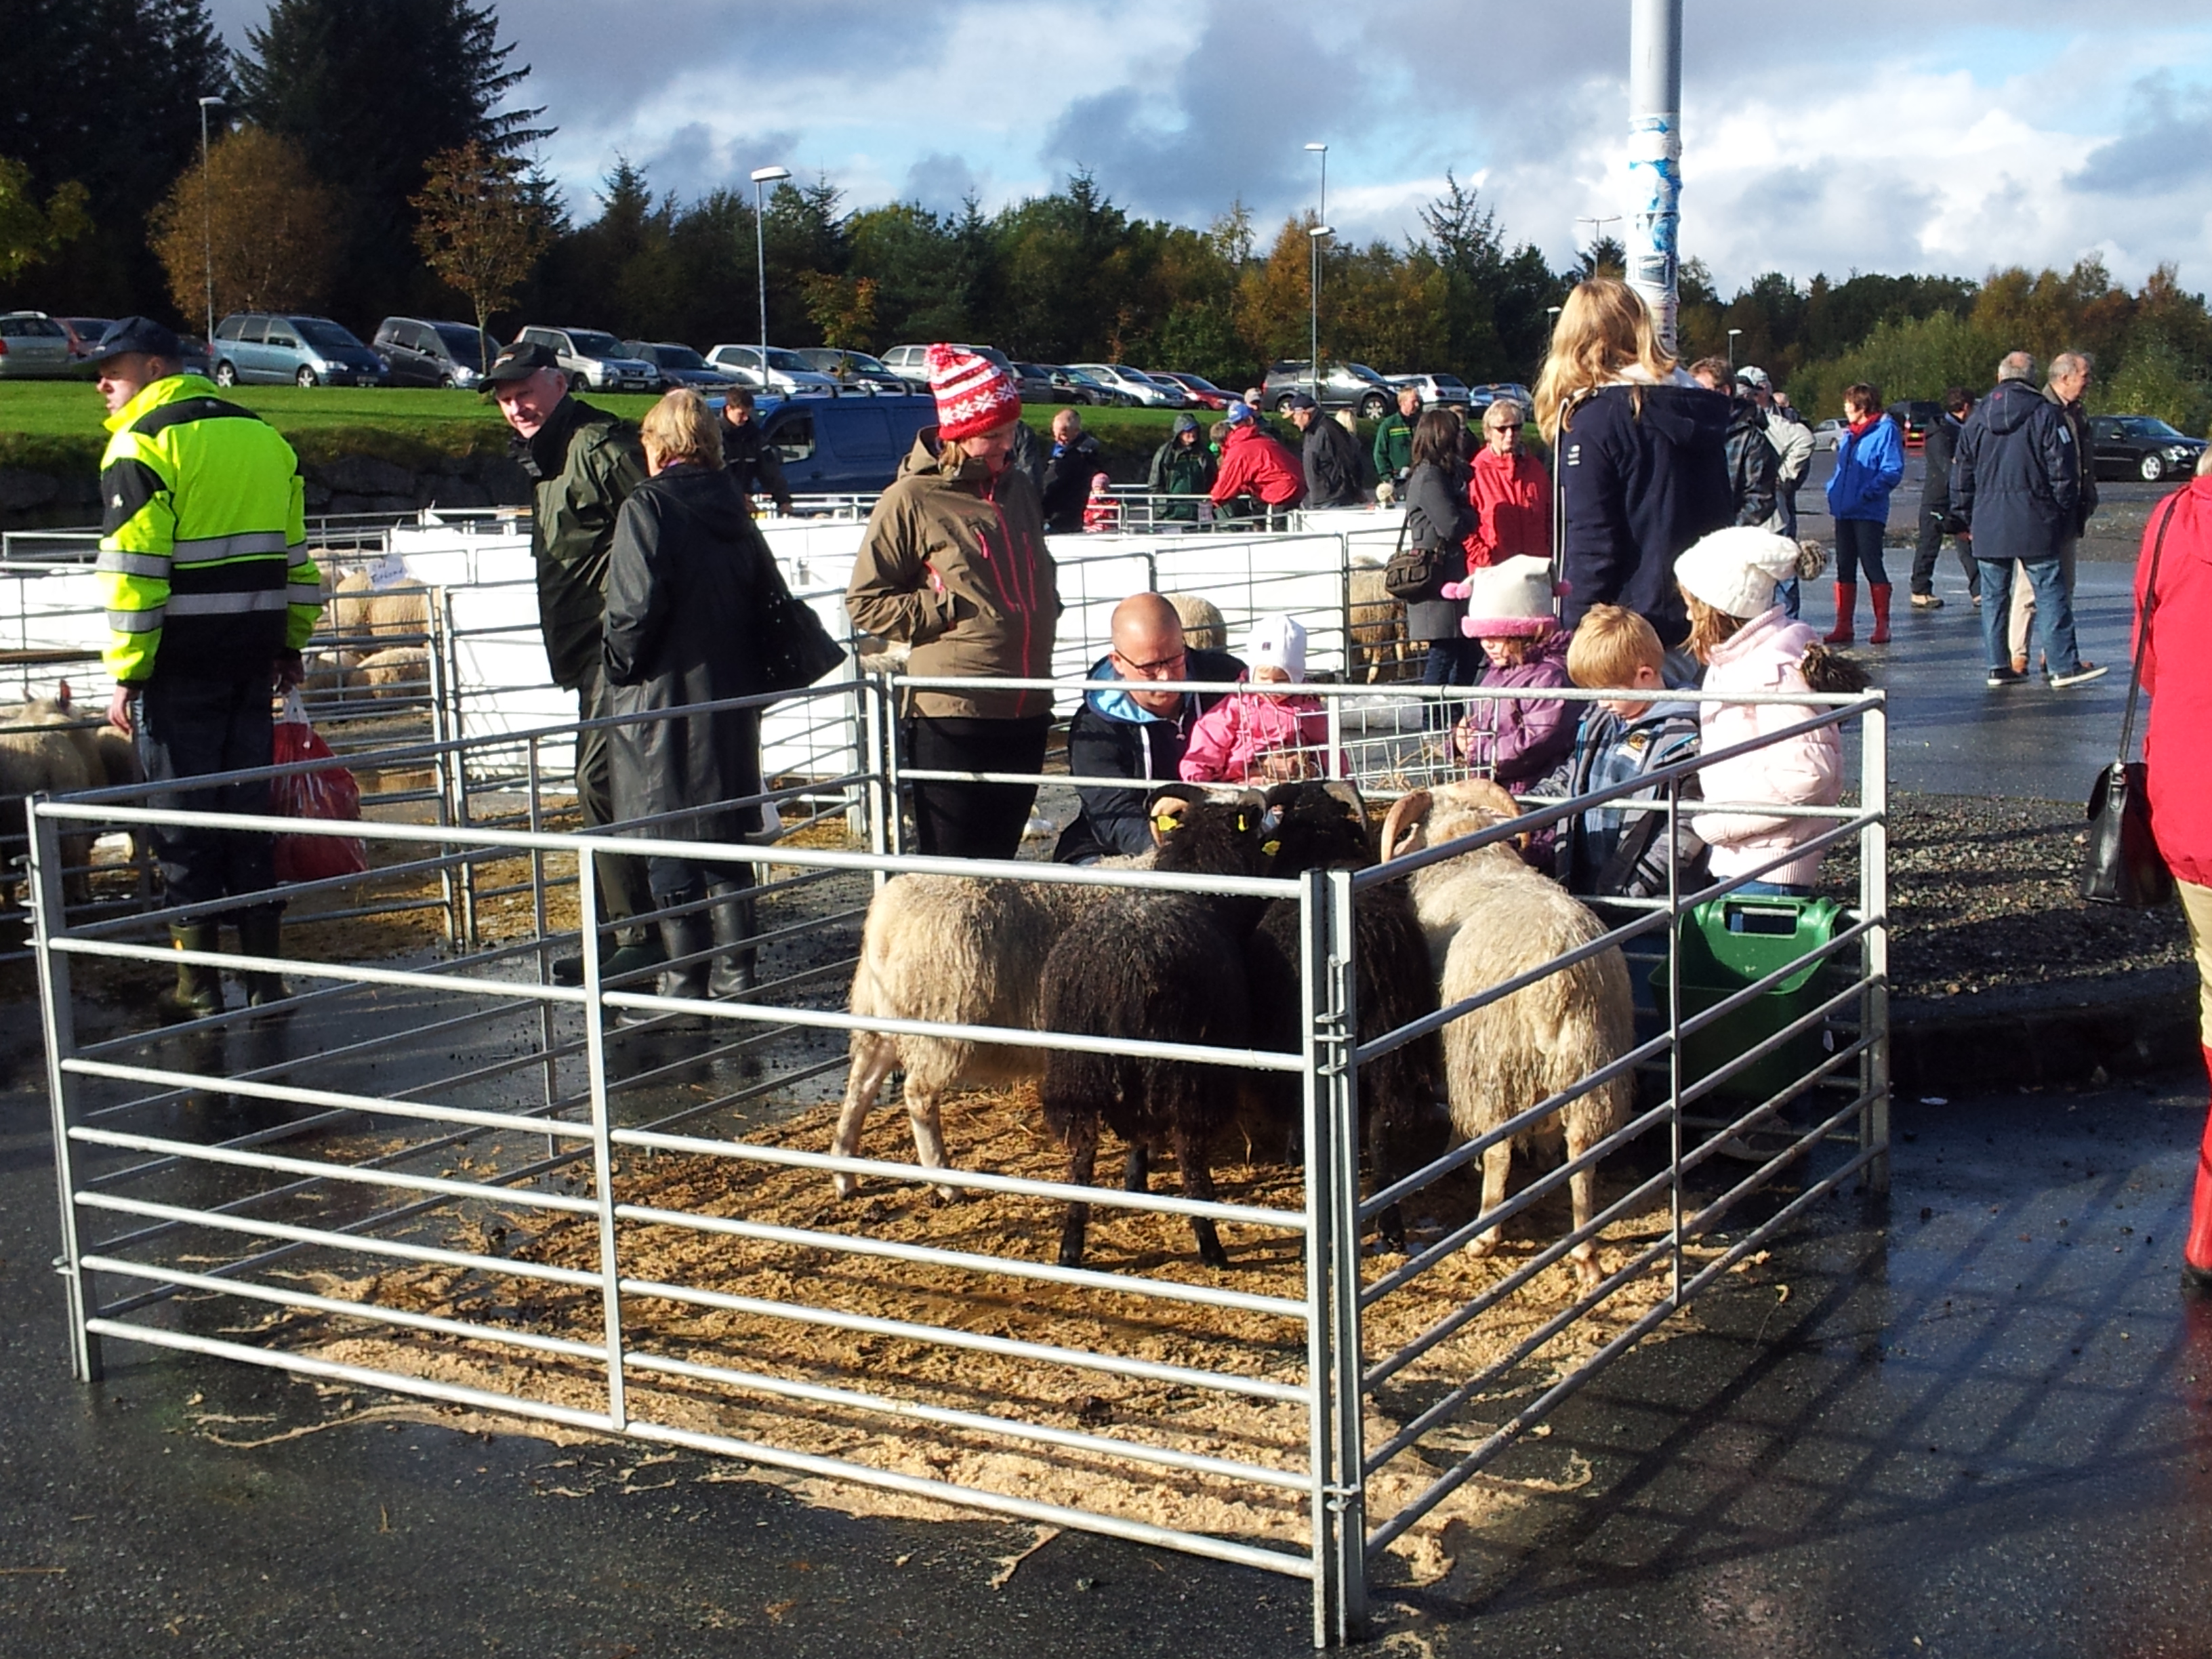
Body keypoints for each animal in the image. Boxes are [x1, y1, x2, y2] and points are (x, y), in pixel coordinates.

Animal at [1040, 792, 1274, 1274]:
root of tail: (1117, 974)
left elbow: (1138, 1135)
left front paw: (1135, 1179)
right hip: (1188, 1074)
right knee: (1190, 1155)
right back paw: (1211, 1246)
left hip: (1077, 1076)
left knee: (1081, 1156)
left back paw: (1071, 1248)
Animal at [1380, 787, 1645, 1292]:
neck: (1466, 853)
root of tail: (1555, 982)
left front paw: (1455, 1152)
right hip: (1590, 1062)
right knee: (1583, 1152)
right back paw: (1585, 1255)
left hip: (1494, 1063)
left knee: (1499, 1148)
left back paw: (1484, 1234)